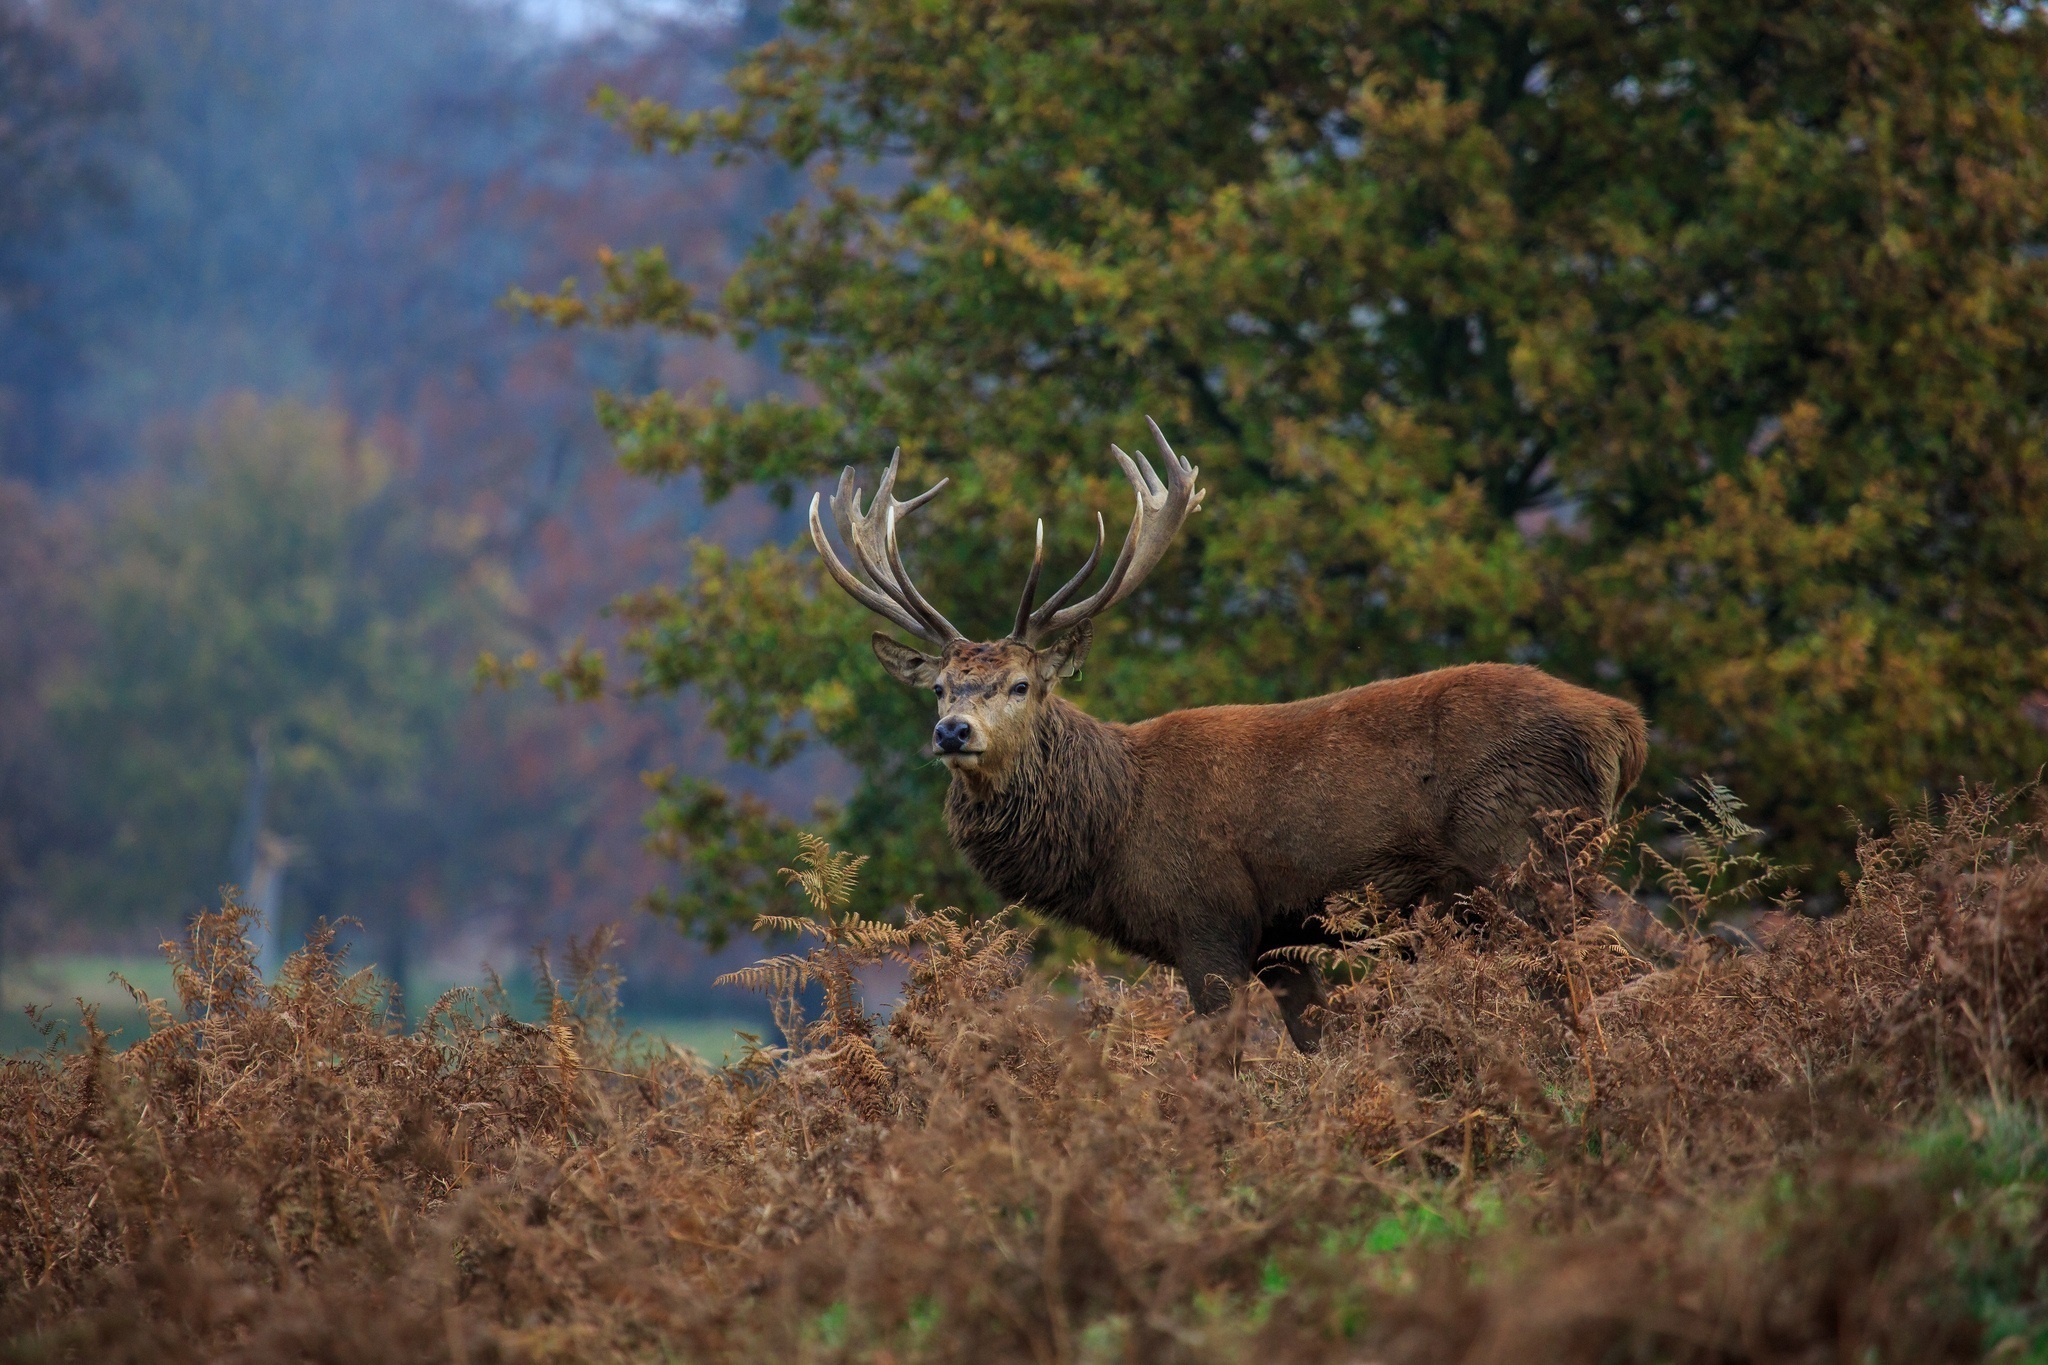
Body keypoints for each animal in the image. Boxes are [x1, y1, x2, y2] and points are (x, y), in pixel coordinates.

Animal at [802, 421, 1646, 1055]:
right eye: (940, 686)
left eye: (1020, 684)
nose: (952, 730)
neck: (1114, 828)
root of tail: (1621, 725)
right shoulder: (1280, 940)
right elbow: (1320, 1048)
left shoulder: (1208, 920)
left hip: (1529, 857)